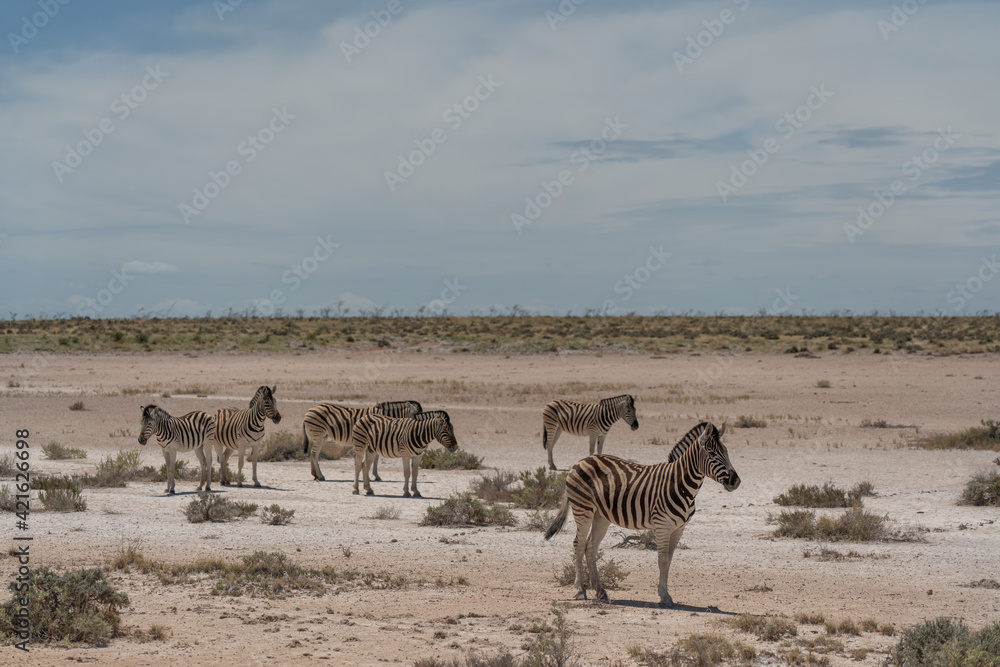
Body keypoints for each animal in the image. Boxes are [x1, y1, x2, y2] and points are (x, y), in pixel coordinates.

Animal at [544, 421, 740, 607]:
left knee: (590, 547)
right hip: (582, 509)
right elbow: (662, 560)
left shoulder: (679, 528)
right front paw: (664, 596)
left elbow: (669, 560)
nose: (735, 481)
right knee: (578, 544)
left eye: (727, 451)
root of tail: (581, 460)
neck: (681, 485)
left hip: (601, 516)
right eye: (712, 453)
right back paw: (580, 590)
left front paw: (665, 594)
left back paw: (600, 591)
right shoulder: (662, 525)